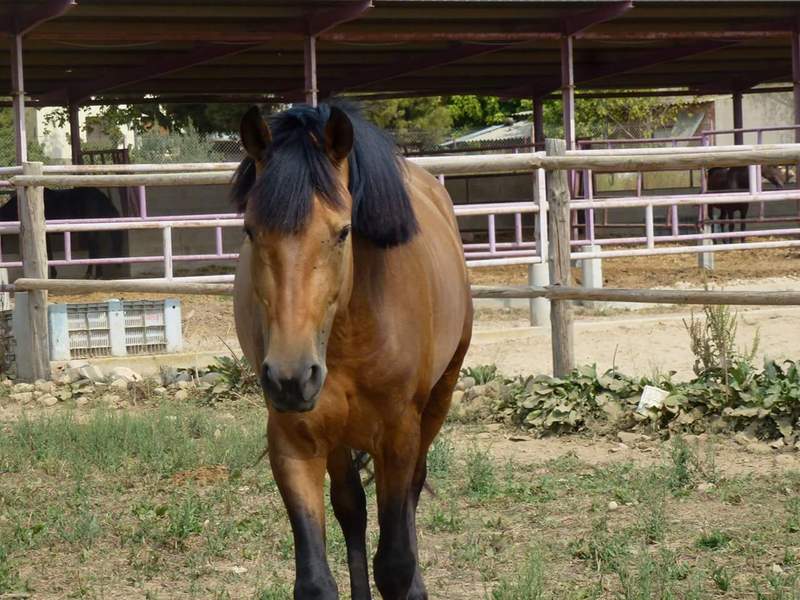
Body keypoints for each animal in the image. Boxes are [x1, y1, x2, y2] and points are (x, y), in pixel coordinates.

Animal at [231, 101, 473, 599]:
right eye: (250, 230)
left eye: (343, 232)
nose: (291, 376)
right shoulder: (293, 440)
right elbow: (316, 579)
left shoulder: (399, 435)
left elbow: (395, 563)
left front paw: (411, 582)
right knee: (352, 509)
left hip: (438, 399)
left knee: (412, 492)